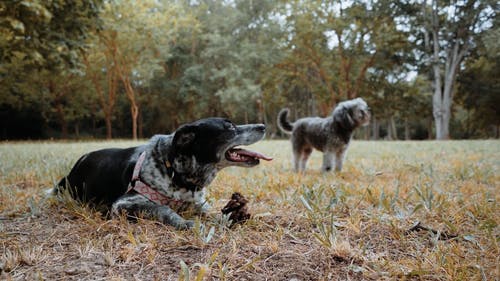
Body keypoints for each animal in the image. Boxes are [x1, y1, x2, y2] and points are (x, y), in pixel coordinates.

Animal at [53, 117, 272, 229]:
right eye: (230, 127)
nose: (263, 125)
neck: (173, 169)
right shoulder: (122, 205)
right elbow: (163, 209)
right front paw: (186, 223)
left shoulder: (199, 203)